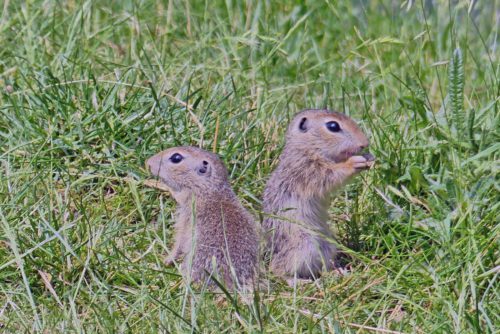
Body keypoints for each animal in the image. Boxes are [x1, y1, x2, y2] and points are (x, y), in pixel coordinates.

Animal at [146, 146, 260, 290]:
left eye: (176, 158)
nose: (148, 163)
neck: (207, 191)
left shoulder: (186, 217)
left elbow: (179, 242)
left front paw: (167, 259)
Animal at [262, 109, 376, 280]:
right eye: (333, 126)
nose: (365, 143)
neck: (307, 147)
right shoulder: (309, 170)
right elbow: (332, 175)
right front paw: (354, 162)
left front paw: (369, 157)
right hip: (304, 245)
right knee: (278, 269)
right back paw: (298, 281)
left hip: (327, 245)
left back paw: (337, 271)